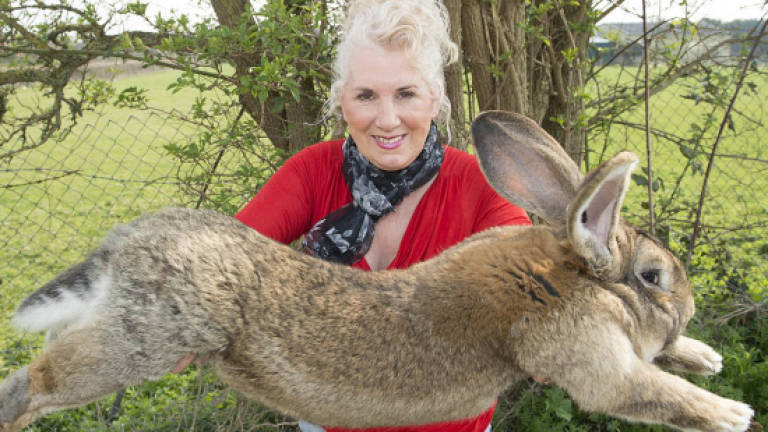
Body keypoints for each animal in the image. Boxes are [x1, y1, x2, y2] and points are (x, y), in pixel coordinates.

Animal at [0, 111, 756, 432]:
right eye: (654, 276)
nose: (689, 309)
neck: (567, 274)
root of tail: (123, 247)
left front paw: (706, 356)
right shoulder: (589, 357)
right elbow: (647, 391)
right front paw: (732, 412)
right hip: (146, 341)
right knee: (37, 382)